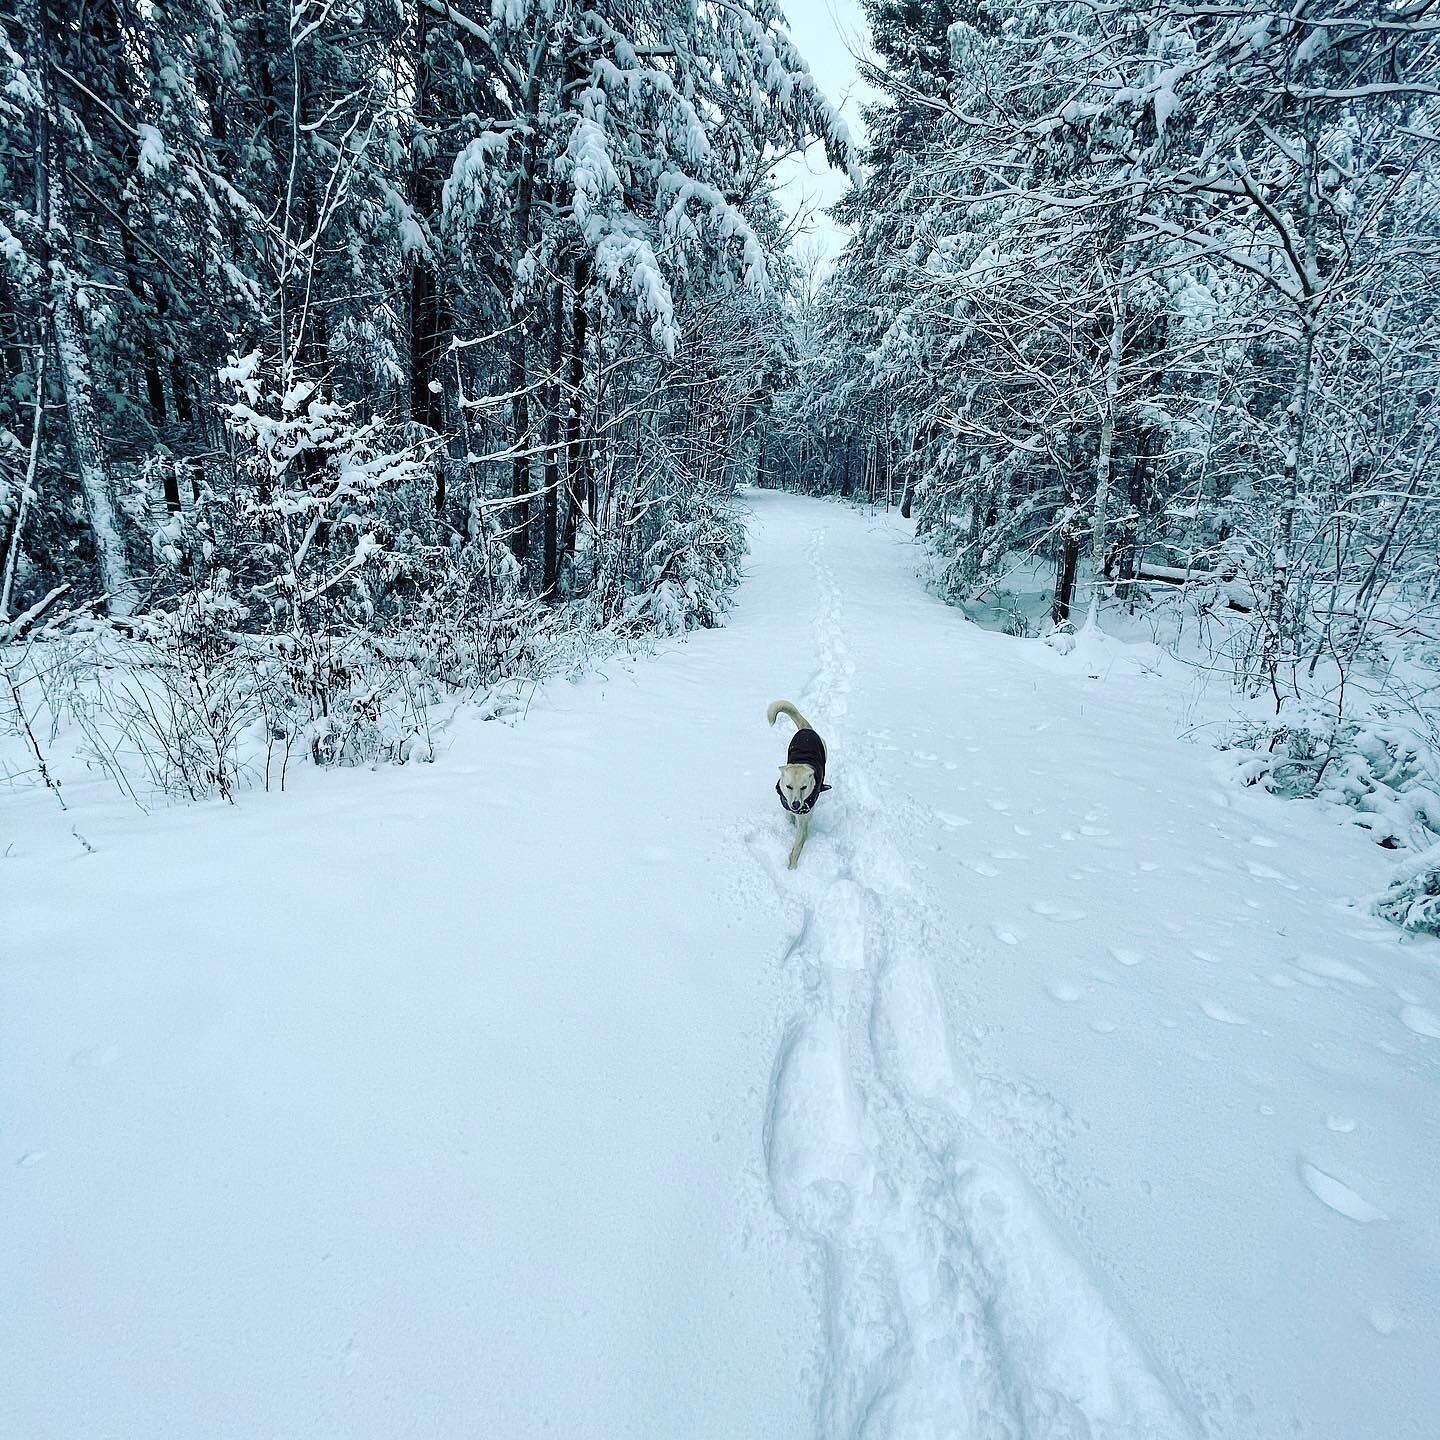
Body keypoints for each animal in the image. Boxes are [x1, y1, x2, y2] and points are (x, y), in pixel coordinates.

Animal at [771, 696, 829, 864]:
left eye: (803, 787)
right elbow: (789, 816)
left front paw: (791, 867)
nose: (796, 804)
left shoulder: (803, 821)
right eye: (789, 786)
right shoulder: (787, 806)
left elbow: (797, 847)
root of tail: (806, 729)